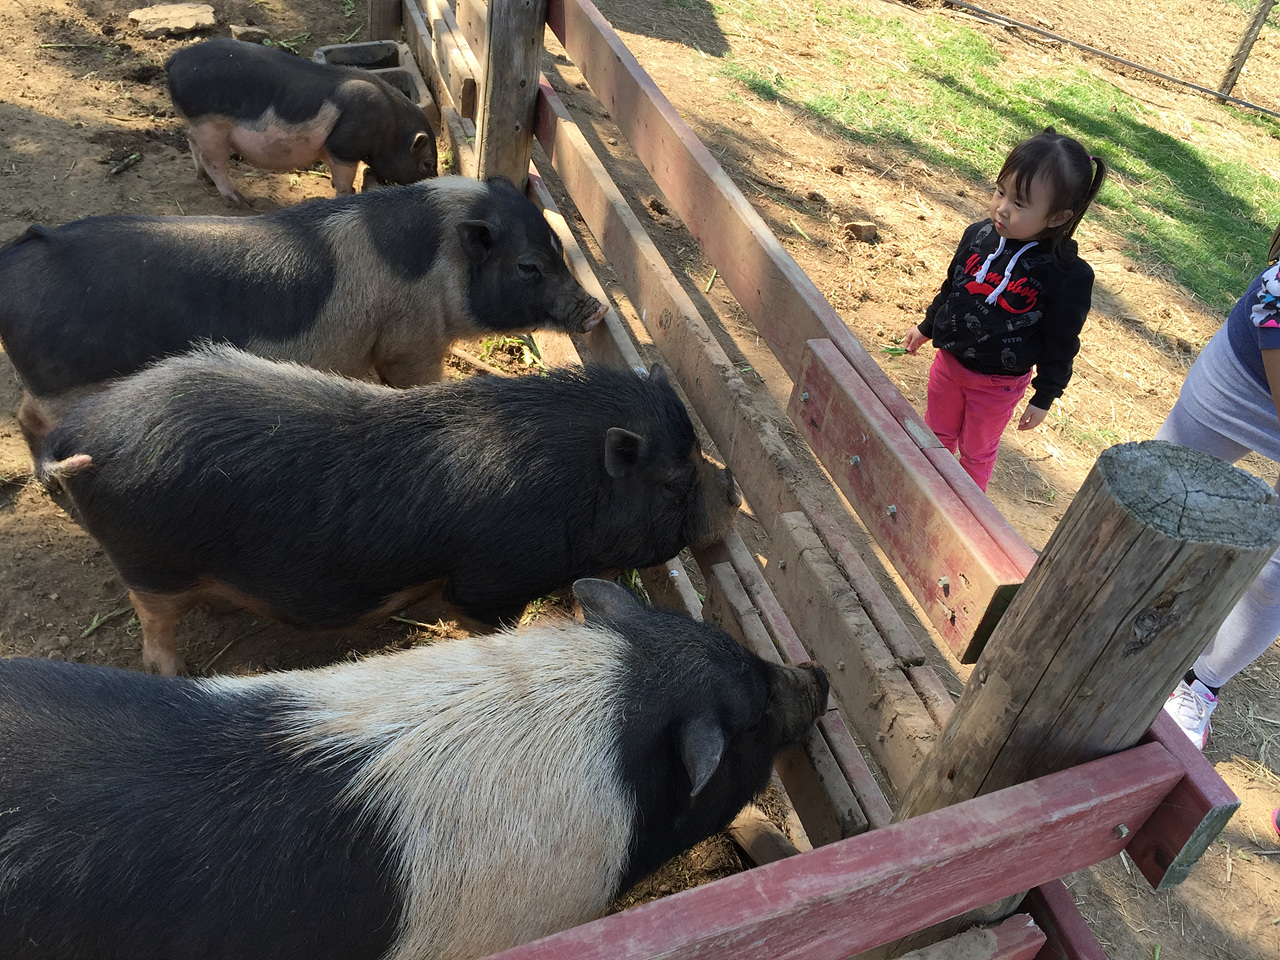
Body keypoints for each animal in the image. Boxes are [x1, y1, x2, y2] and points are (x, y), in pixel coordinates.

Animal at [0, 175, 608, 460]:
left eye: (560, 247)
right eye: (529, 267)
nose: (597, 308)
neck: (441, 264)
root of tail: (17, 257)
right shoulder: (409, 340)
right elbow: (416, 381)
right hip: (64, 387)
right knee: (30, 417)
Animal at [39, 346, 741, 675]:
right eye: (676, 480)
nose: (734, 486)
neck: (570, 483)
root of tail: (80, 437)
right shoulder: (489, 580)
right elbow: (483, 619)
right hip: (149, 560)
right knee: (153, 619)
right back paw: (177, 668)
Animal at [166, 37, 436, 206]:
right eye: (427, 164)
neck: (391, 130)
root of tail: (175, 60)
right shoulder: (343, 148)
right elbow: (344, 180)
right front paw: (346, 194)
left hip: (199, 126)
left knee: (191, 141)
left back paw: (204, 179)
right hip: (211, 127)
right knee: (213, 160)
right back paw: (241, 202)